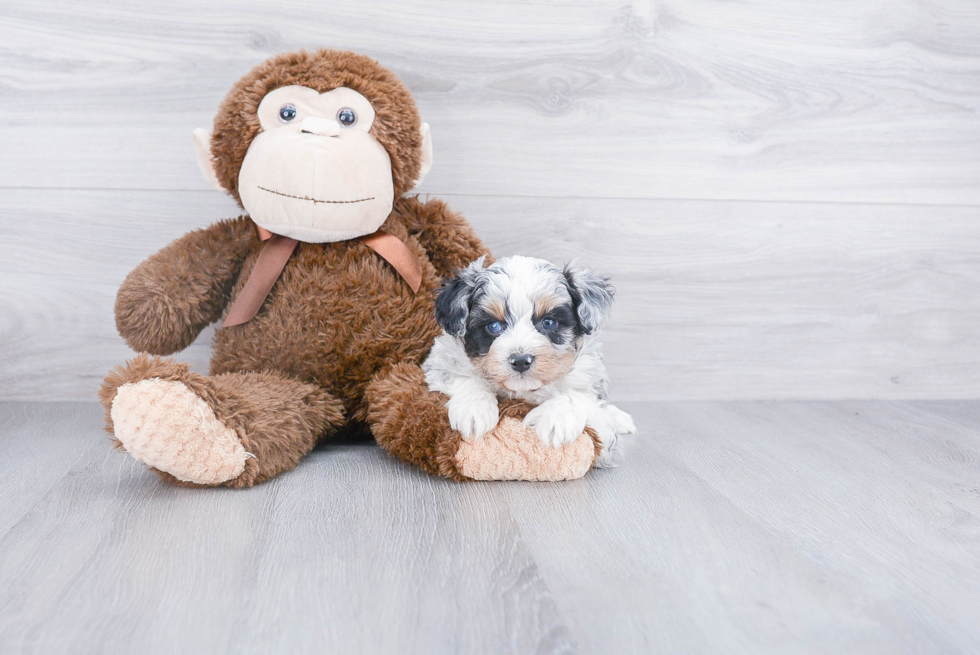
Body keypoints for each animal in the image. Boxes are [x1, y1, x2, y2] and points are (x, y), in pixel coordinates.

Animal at [422, 255, 636, 466]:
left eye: (549, 322)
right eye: (493, 326)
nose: (520, 360)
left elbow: (577, 395)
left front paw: (556, 419)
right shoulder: (439, 360)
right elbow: (465, 377)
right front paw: (474, 409)